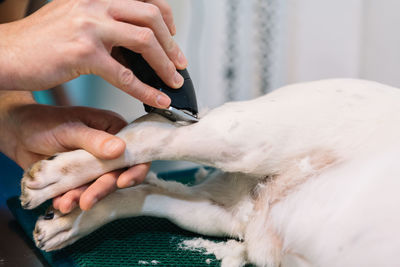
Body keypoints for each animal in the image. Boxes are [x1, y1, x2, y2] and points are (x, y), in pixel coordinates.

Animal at [20, 80, 400, 267]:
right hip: (244, 138)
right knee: (149, 135)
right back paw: (52, 177)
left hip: (213, 213)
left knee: (146, 190)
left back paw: (65, 223)